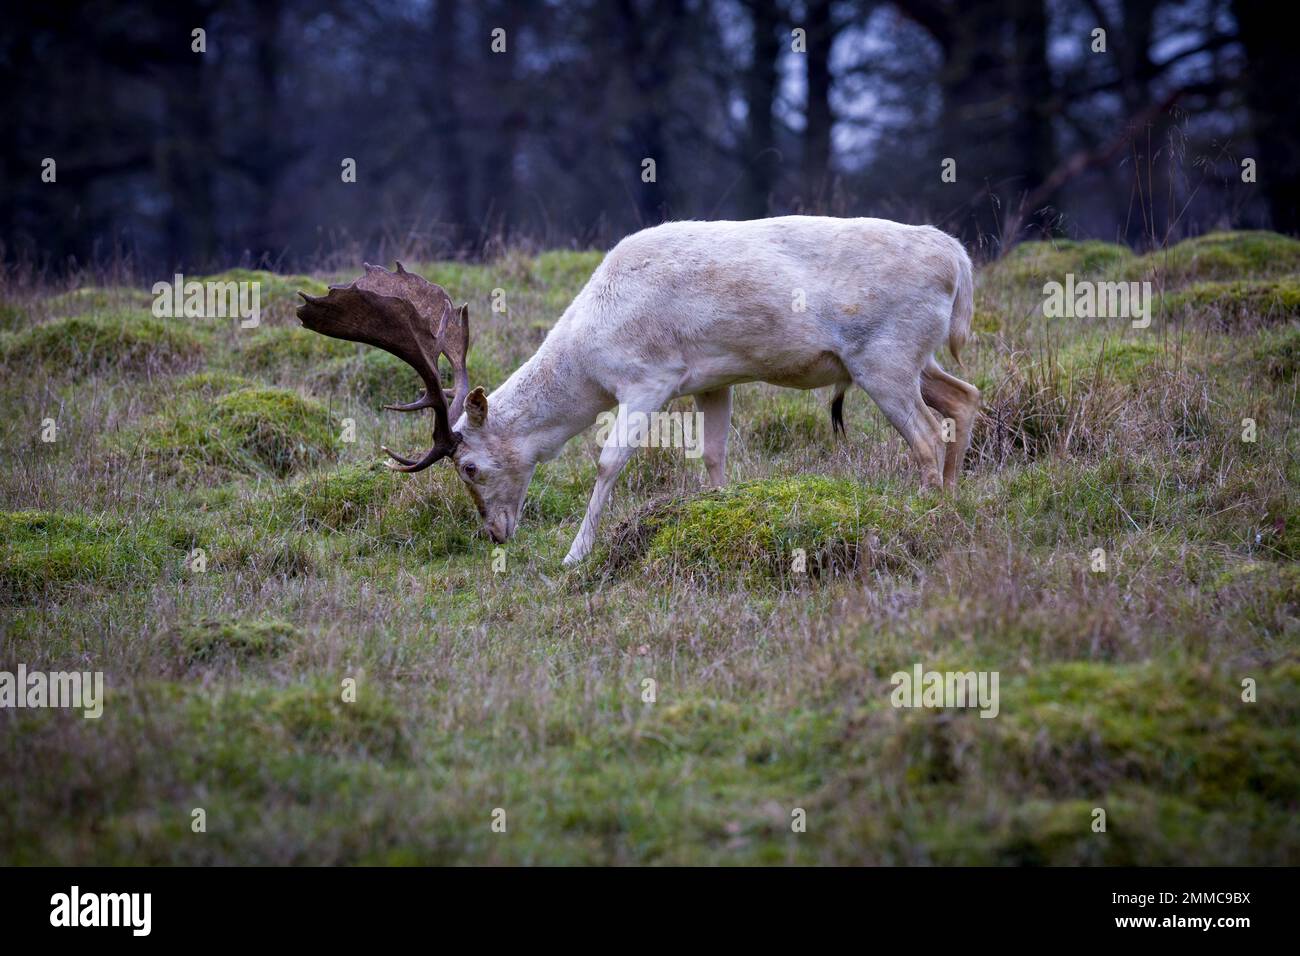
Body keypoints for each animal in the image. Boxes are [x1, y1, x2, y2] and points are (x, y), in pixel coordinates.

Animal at [299, 213, 977, 564]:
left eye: (467, 466)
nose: (495, 533)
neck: (591, 349)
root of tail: (960, 260)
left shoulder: (650, 379)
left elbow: (608, 461)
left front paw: (575, 554)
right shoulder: (714, 379)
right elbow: (713, 456)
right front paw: (719, 516)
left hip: (881, 357)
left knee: (925, 433)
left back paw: (926, 515)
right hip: (911, 358)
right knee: (964, 398)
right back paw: (953, 507)